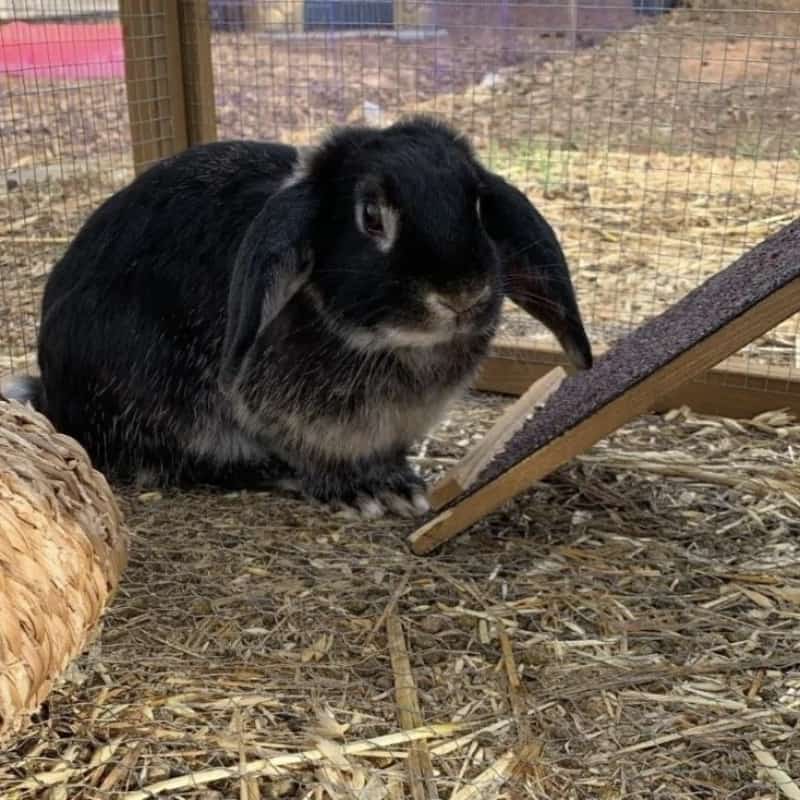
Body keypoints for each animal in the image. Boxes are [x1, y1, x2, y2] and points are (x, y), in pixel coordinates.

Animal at [4, 115, 593, 519]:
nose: (462, 294)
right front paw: (363, 494)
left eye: (476, 205)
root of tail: (51, 394)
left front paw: (402, 483)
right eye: (370, 216)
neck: (391, 343)